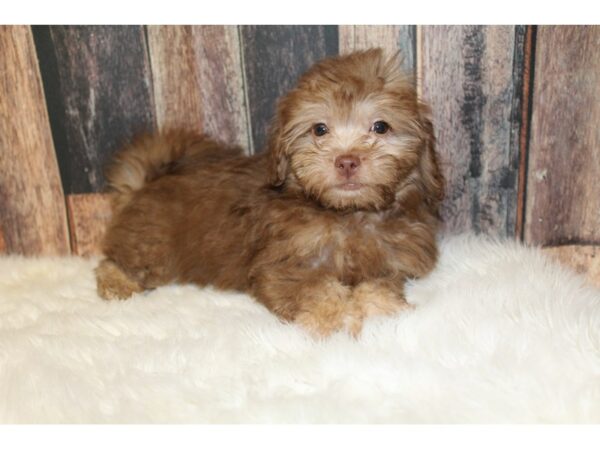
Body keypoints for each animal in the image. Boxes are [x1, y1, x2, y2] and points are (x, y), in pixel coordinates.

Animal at [96, 49, 442, 338]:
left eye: (380, 127)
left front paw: (385, 314)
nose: (347, 161)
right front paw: (333, 321)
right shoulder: (283, 265)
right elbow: (319, 290)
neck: (348, 215)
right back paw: (117, 284)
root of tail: (147, 182)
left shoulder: (388, 263)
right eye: (319, 129)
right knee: (115, 262)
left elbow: (378, 287)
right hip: (152, 245)